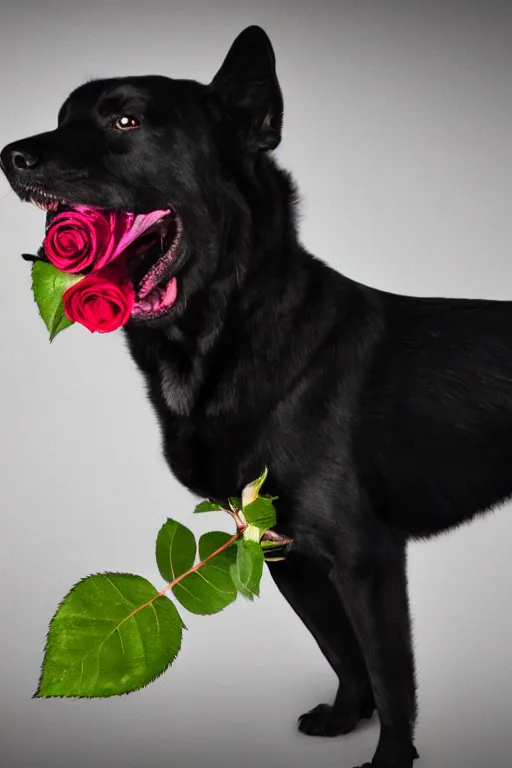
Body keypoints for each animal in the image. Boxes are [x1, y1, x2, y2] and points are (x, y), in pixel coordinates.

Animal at [2, 25, 510, 768]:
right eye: (64, 117)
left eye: (126, 121)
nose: (10, 156)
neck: (228, 338)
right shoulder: (283, 550)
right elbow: (342, 651)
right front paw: (344, 718)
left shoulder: (367, 559)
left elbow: (391, 675)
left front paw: (389, 758)